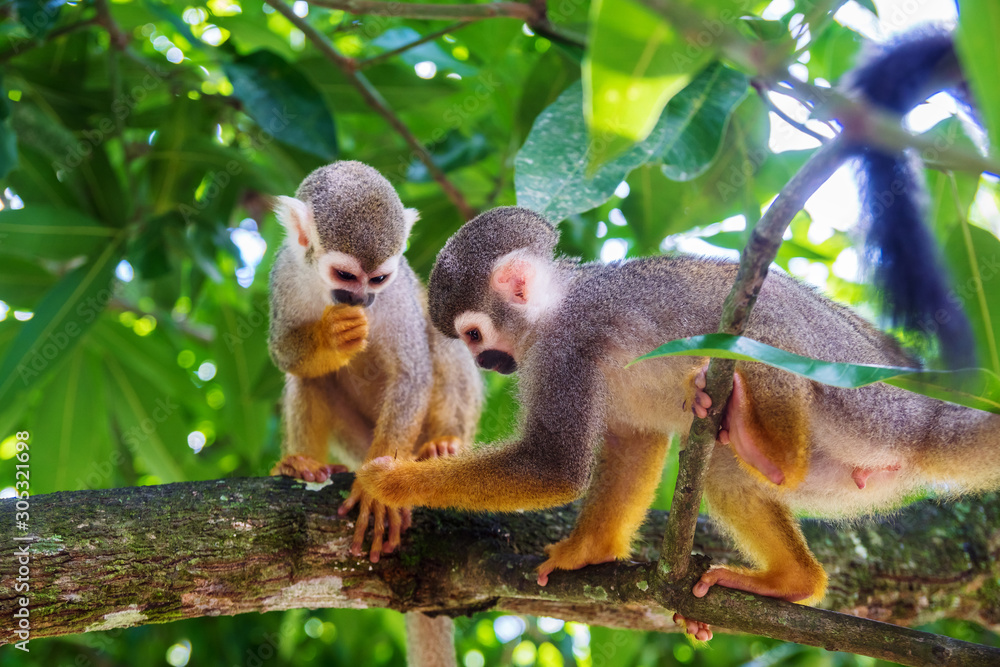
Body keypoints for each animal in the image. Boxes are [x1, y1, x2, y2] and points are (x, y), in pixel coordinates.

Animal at [267, 160, 482, 563]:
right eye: (345, 275)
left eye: (378, 278)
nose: (361, 300)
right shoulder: (286, 270)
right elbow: (282, 350)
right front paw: (332, 335)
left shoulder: (396, 292)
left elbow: (411, 373)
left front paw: (379, 486)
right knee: (311, 375)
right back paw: (304, 463)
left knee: (439, 336)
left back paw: (443, 444)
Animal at [353, 205, 1000, 642]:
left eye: (472, 334)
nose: (489, 363)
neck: (557, 306)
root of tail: (921, 414)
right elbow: (633, 442)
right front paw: (588, 551)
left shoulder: (568, 341)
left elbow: (554, 467)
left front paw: (389, 483)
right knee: (723, 470)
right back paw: (792, 578)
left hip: (860, 403)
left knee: (759, 332)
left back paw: (774, 456)